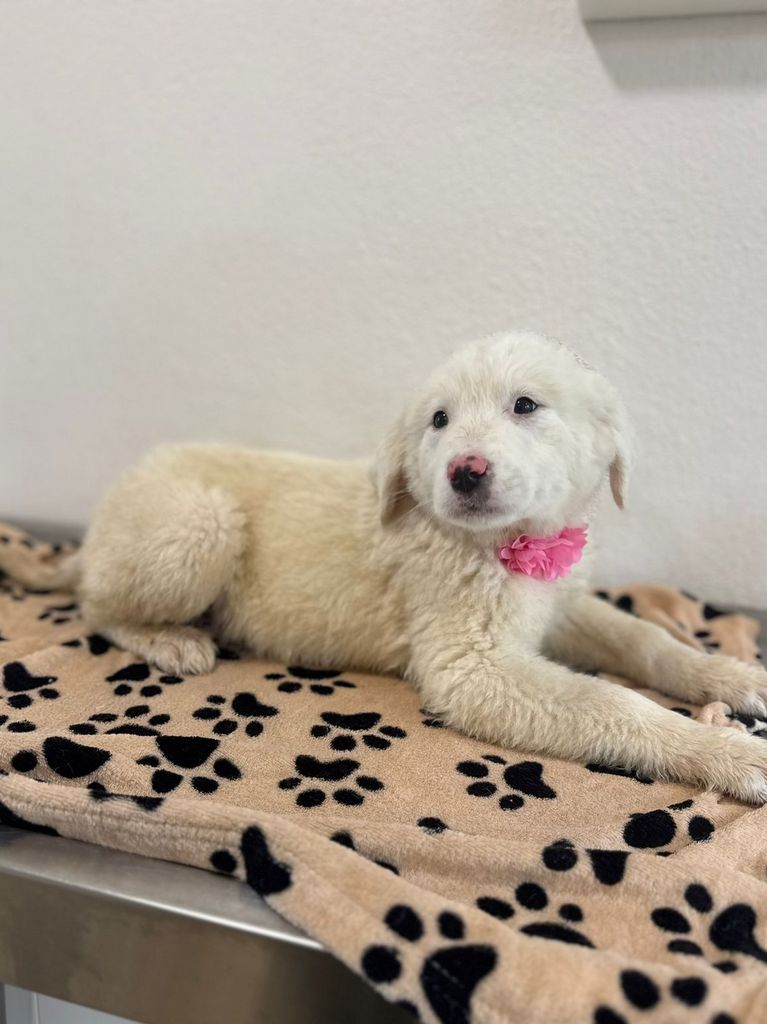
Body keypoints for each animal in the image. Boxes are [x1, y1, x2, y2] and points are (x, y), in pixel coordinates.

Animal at [6, 331, 767, 802]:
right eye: (439, 421)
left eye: (525, 405)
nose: (464, 471)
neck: (505, 545)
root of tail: (98, 530)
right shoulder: (472, 667)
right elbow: (612, 702)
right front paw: (724, 753)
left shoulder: (563, 603)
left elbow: (648, 641)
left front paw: (731, 677)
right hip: (197, 523)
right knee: (97, 608)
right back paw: (170, 640)